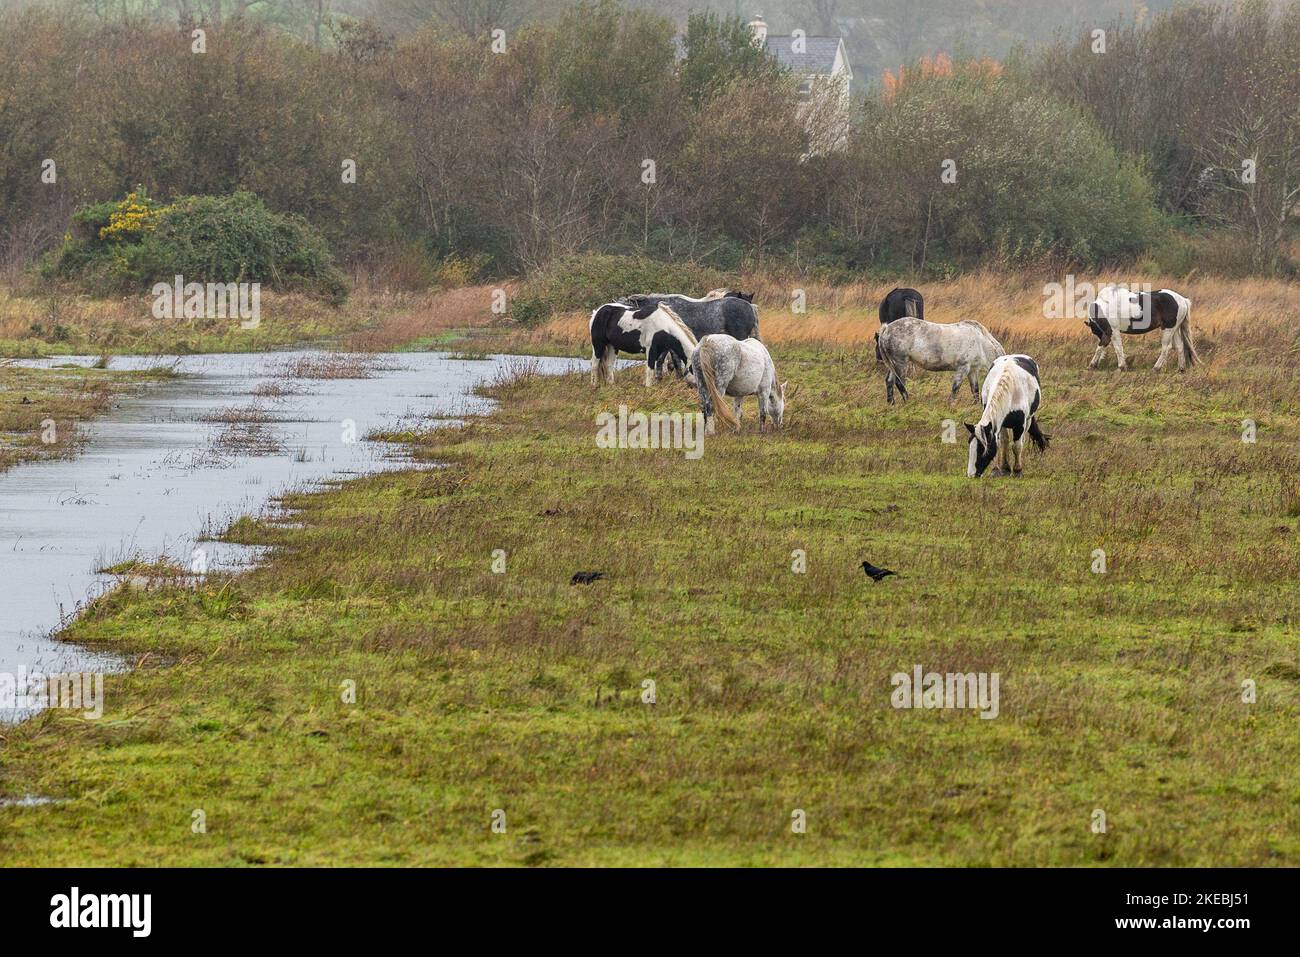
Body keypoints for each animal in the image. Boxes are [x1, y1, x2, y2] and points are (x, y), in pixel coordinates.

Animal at [874, 317, 1005, 404]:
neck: (980, 341)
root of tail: (886, 329)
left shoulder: (973, 370)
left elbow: (975, 390)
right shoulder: (963, 367)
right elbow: (955, 388)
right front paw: (951, 405)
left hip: (893, 364)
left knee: (889, 381)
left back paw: (891, 403)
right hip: (900, 363)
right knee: (899, 383)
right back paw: (908, 401)